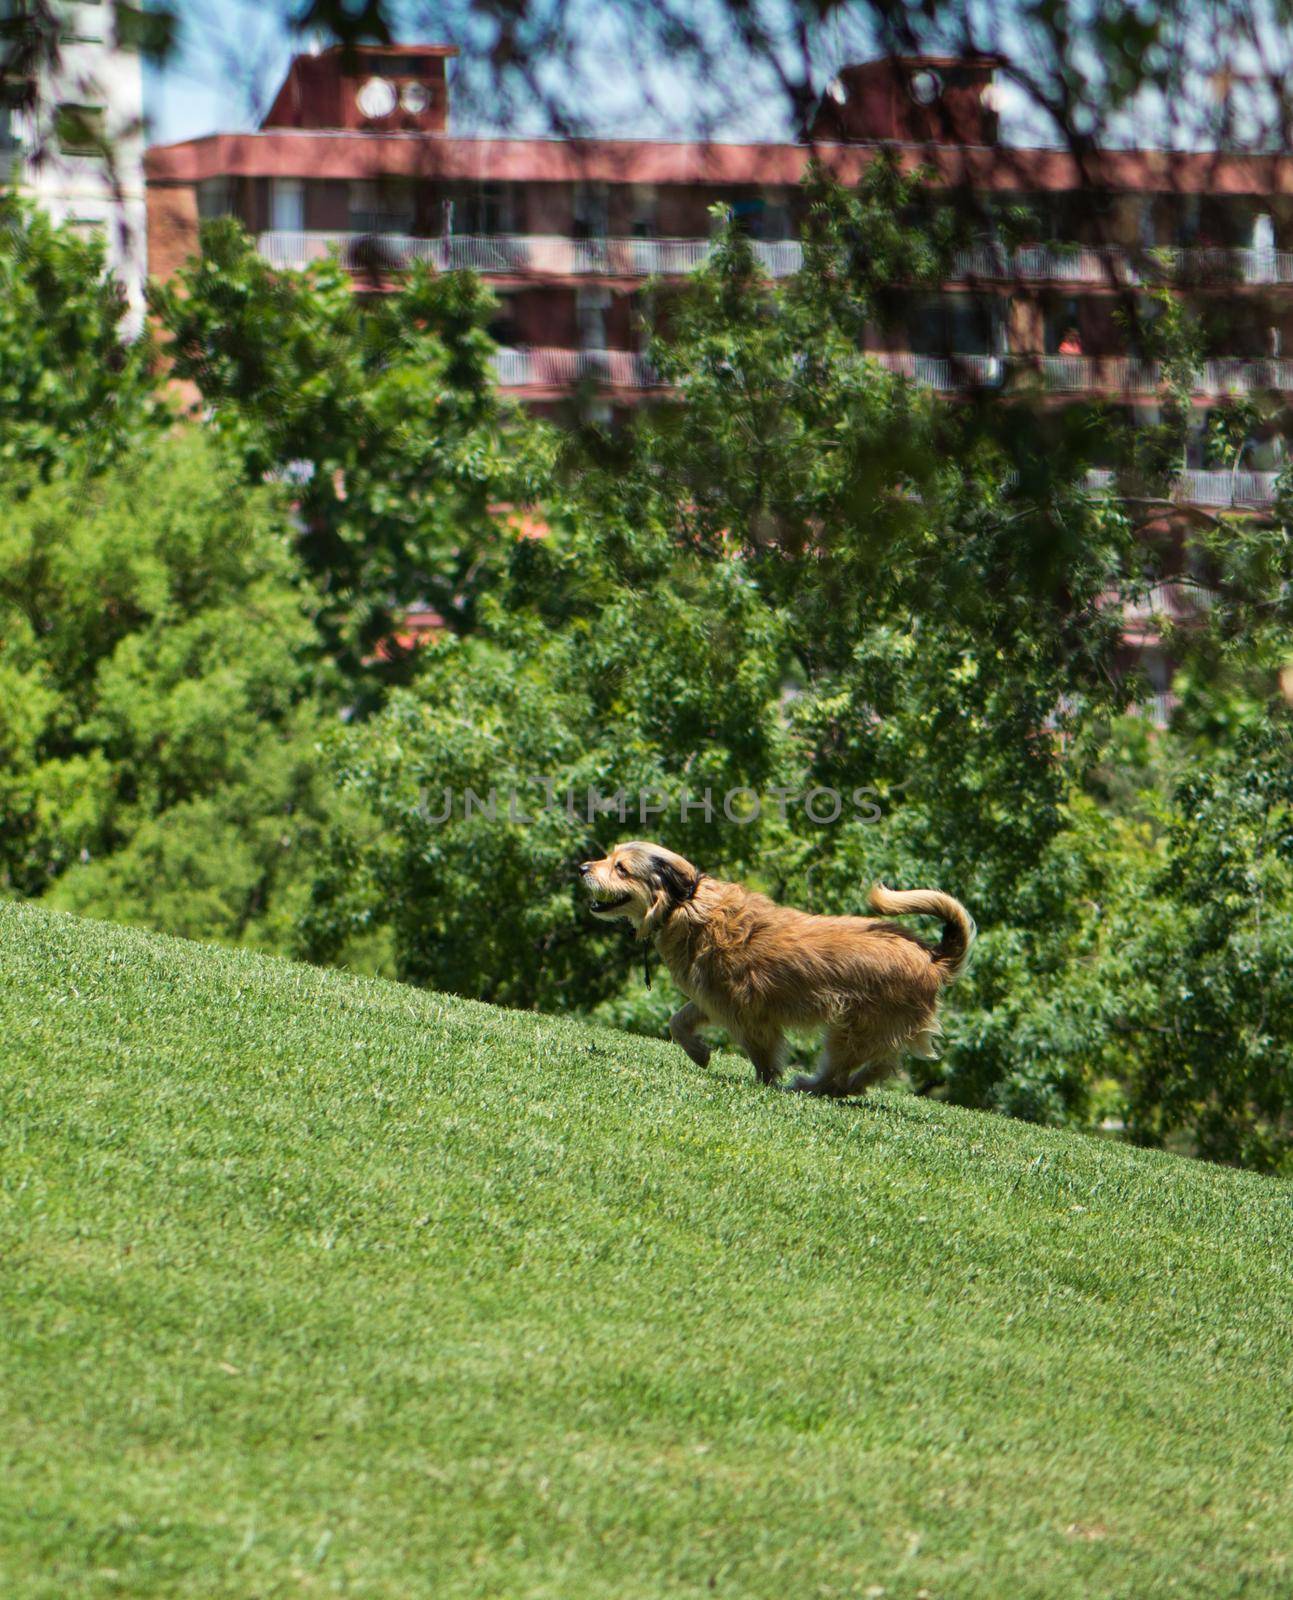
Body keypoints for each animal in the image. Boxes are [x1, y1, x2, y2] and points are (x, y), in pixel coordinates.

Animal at [579, 838, 972, 1100]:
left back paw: (811, 1086)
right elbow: (678, 1021)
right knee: (880, 1066)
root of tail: (932, 957)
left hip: (853, 1029)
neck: (685, 903)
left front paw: (765, 1081)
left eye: (620, 868)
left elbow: (761, 1054)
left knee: (842, 1069)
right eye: (608, 856)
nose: (582, 868)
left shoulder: (746, 1013)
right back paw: (847, 1088)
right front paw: (699, 1052)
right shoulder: (711, 999)